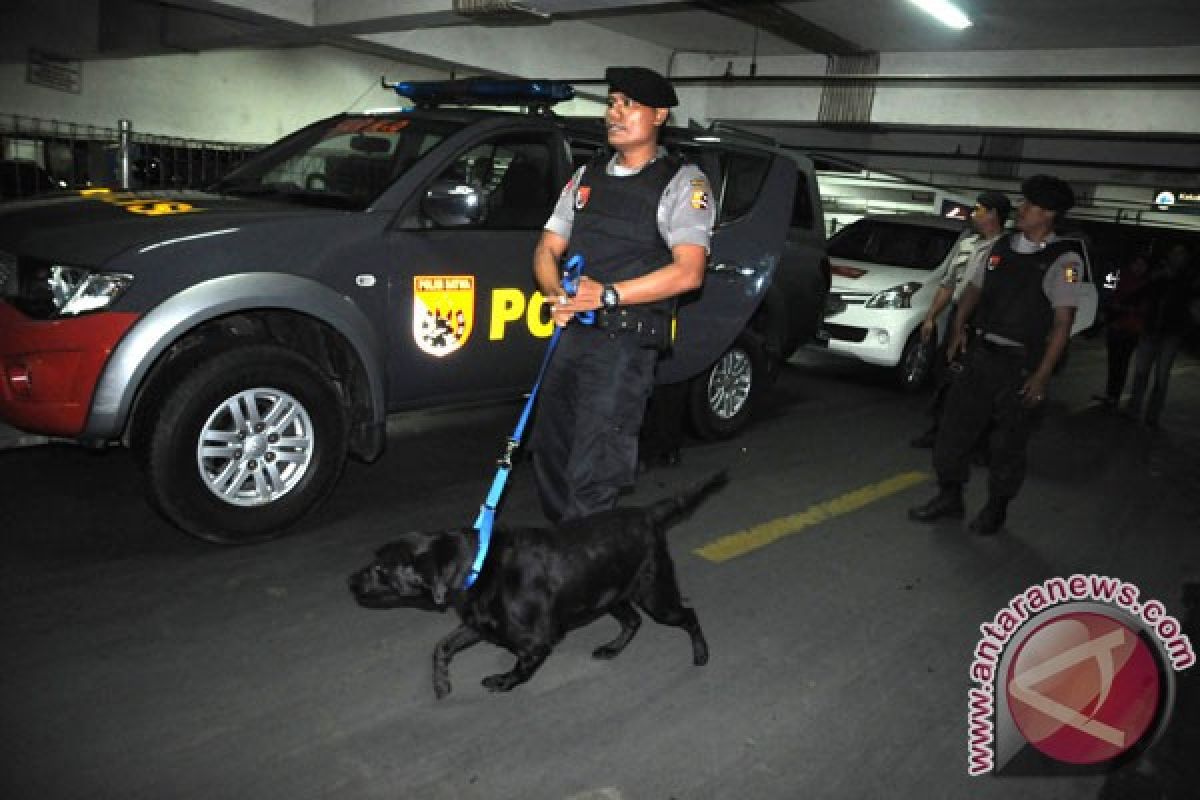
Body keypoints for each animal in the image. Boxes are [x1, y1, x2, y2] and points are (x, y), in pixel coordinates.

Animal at [343, 472, 724, 695]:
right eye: (375, 561)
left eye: (381, 569)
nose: (349, 581)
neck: (478, 564)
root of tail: (647, 513)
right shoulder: (479, 624)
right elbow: (442, 646)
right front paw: (441, 683)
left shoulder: (536, 641)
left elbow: (521, 667)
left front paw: (501, 681)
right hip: (611, 595)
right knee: (633, 621)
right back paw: (612, 649)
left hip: (656, 594)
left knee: (688, 615)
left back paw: (702, 654)